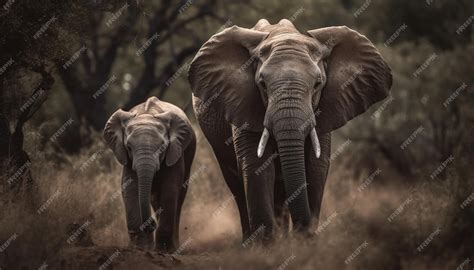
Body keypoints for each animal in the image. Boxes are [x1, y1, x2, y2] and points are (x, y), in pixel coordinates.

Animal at [103, 96, 196, 251]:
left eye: (162, 147)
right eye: (129, 147)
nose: (151, 224)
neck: (147, 114)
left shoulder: (175, 151)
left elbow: (170, 189)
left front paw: (163, 250)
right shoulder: (127, 158)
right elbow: (129, 188)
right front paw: (139, 248)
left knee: (179, 198)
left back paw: (173, 247)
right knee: (155, 199)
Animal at [187, 19, 390, 240]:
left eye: (318, 84)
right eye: (262, 84)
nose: (305, 232)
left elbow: (315, 167)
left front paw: (302, 242)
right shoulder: (243, 104)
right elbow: (257, 166)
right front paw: (266, 244)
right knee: (237, 185)